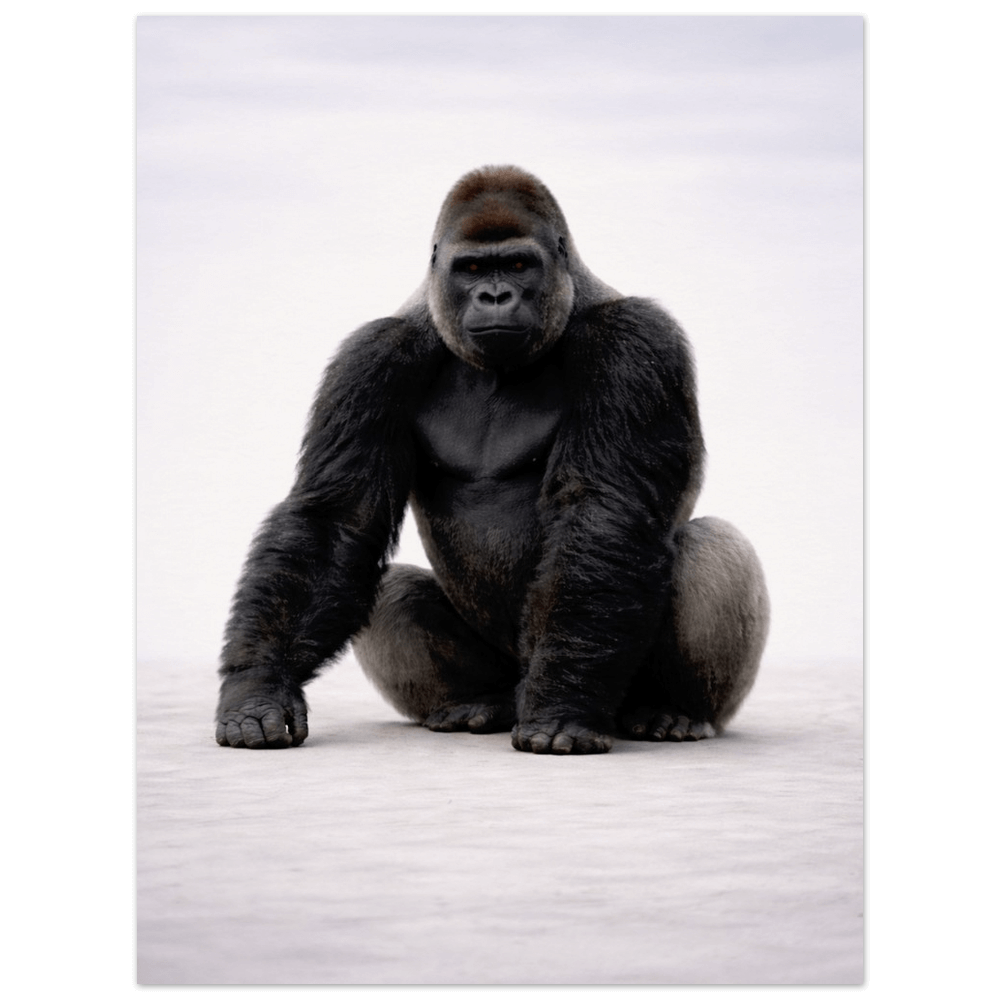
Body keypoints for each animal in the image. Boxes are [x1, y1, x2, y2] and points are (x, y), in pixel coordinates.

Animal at [216, 165, 769, 754]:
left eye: (519, 265)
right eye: (473, 268)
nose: (496, 295)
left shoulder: (635, 341)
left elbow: (601, 509)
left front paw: (562, 704)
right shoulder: (372, 357)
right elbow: (338, 520)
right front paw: (258, 685)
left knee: (714, 545)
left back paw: (672, 710)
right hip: (502, 674)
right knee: (391, 591)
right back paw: (478, 703)